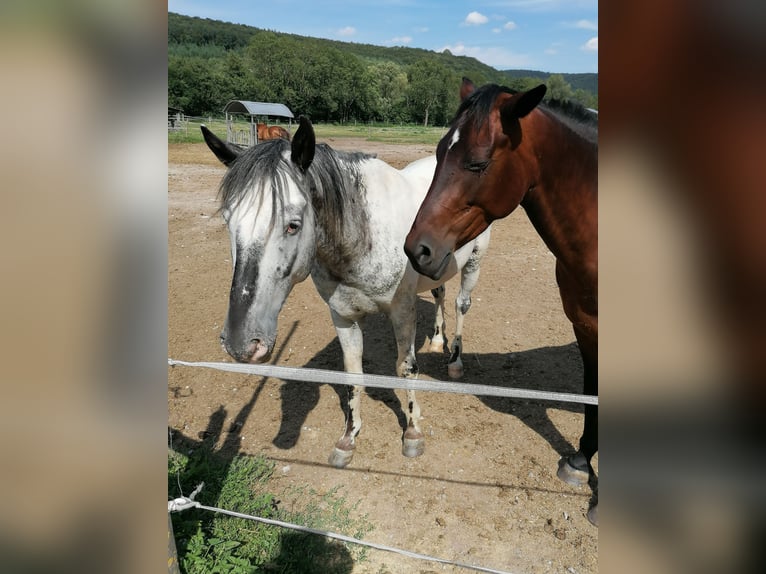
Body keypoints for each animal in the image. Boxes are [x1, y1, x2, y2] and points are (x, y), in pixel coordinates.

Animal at [201, 119, 496, 470]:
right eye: (228, 221)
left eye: (293, 225)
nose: (241, 342)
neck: (363, 235)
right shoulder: (342, 315)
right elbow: (353, 374)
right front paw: (348, 438)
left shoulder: (403, 311)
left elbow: (406, 368)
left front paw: (413, 434)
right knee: (439, 294)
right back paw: (438, 341)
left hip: (474, 262)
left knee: (461, 304)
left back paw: (454, 361)